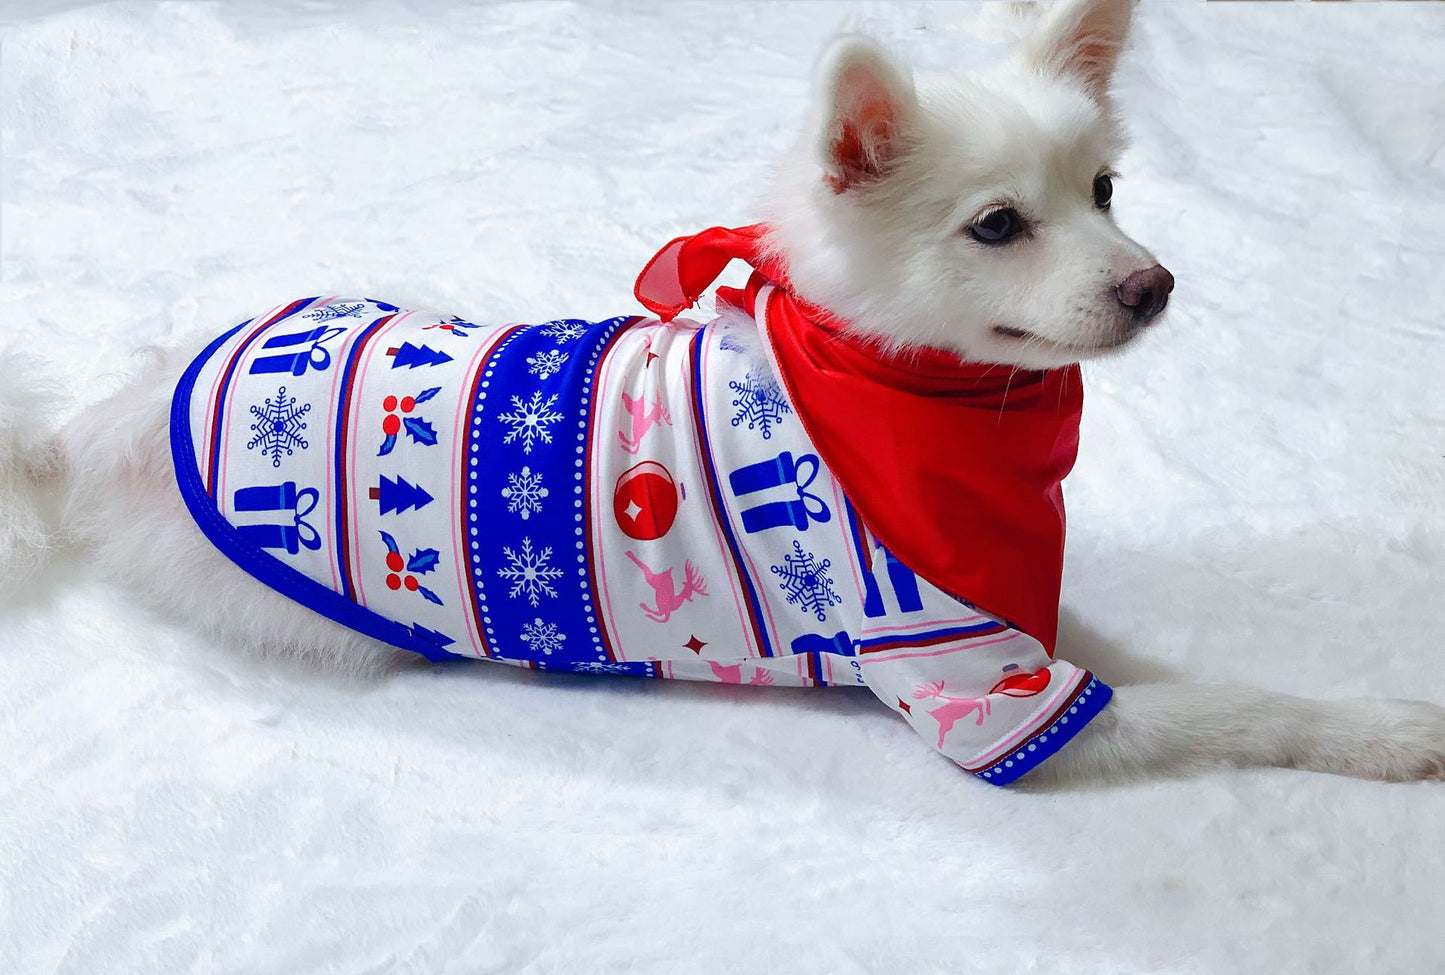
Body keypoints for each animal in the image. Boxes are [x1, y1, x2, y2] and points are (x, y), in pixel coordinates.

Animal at [2, 0, 1445, 785]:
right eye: (995, 226)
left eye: (1103, 192)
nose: (1152, 285)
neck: (894, 391)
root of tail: (107, 426)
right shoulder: (983, 691)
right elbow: (1227, 706)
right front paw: (1383, 732)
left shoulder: (1018, 620)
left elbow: (1168, 663)